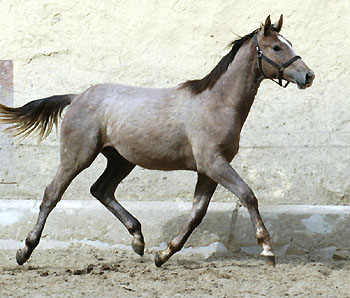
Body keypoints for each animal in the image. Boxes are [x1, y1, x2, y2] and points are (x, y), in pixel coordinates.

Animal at [0, 15, 314, 268]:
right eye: (277, 47)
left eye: (288, 43)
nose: (308, 75)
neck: (217, 103)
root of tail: (76, 97)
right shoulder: (214, 164)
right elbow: (248, 195)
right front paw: (267, 251)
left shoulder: (208, 170)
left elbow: (197, 213)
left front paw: (163, 255)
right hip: (77, 155)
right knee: (52, 194)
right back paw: (24, 251)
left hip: (120, 160)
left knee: (101, 190)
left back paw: (138, 240)